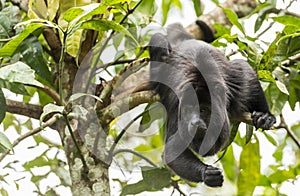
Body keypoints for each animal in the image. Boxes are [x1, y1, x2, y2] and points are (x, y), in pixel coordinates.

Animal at [149, 21, 276, 187]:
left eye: (203, 110)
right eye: (188, 111)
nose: (194, 122)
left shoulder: (235, 85)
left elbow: (244, 69)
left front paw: (264, 115)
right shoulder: (177, 108)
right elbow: (172, 150)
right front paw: (206, 173)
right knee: (158, 40)